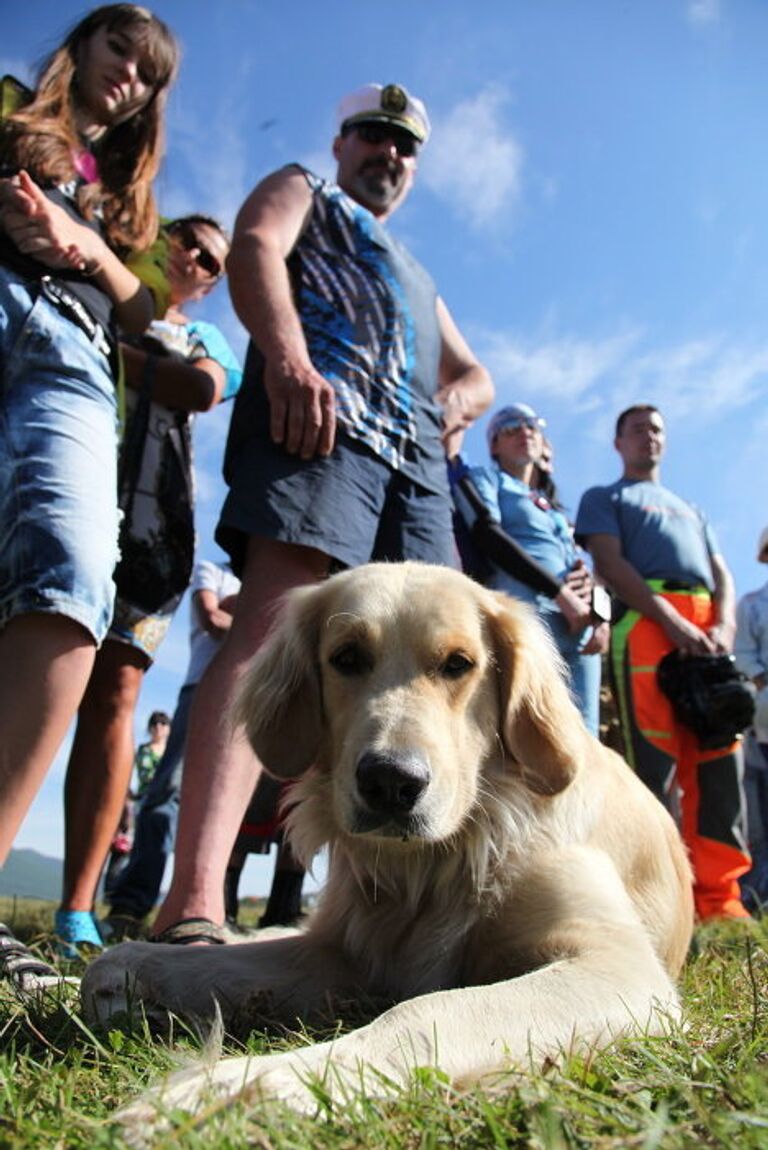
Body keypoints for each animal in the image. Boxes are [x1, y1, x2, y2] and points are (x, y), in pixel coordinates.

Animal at [81, 561, 694, 1127]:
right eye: (347, 658)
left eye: (458, 664)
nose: (391, 782)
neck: (435, 866)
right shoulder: (340, 952)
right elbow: (137, 964)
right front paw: (122, 979)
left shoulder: (620, 967)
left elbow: (424, 1011)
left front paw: (246, 1086)